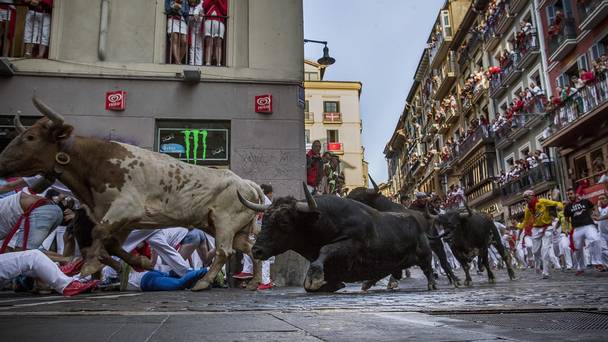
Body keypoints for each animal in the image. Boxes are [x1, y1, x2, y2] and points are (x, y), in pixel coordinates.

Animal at [0, 97, 266, 292]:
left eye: (30, 137)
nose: (2, 161)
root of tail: (247, 183)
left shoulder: (125, 207)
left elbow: (99, 232)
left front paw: (89, 267)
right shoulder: (123, 220)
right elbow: (111, 243)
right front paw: (136, 263)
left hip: (224, 223)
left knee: (224, 251)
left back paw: (203, 282)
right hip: (231, 227)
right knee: (250, 248)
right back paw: (253, 283)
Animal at [238, 186, 436, 292]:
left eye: (284, 221)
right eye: (264, 218)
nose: (256, 250)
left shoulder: (353, 243)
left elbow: (326, 250)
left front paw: (316, 277)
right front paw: (333, 284)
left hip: (424, 253)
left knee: (428, 267)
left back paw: (432, 284)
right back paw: (368, 284)